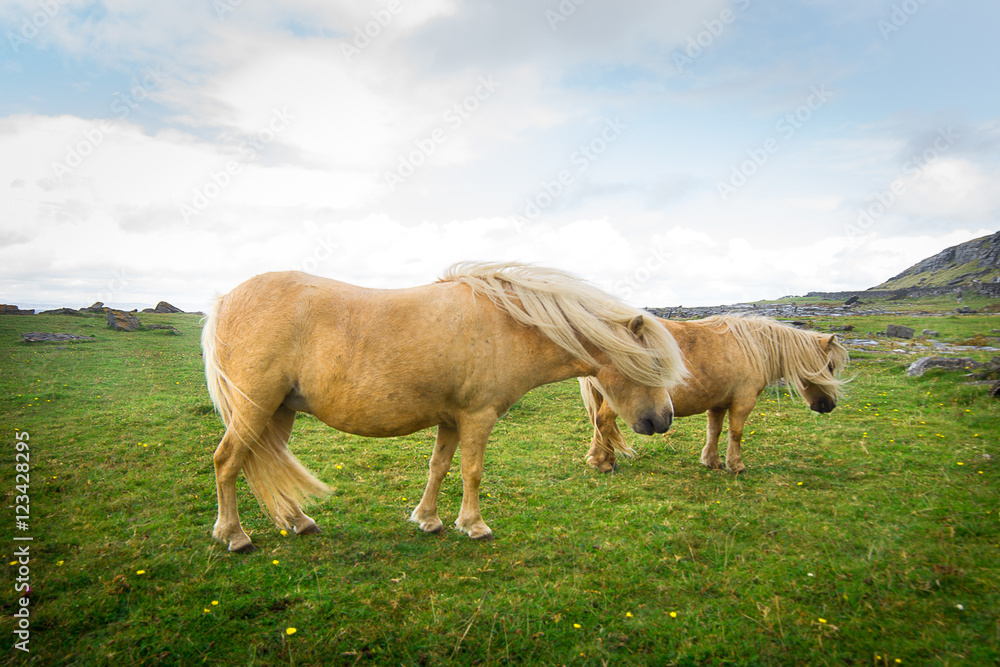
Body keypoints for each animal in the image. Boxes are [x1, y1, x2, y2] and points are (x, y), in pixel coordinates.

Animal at [202, 262, 687, 552]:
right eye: (653, 364)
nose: (664, 419)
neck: (509, 324)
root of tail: (225, 299)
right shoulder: (478, 417)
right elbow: (472, 471)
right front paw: (474, 524)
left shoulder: (452, 420)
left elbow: (439, 467)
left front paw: (429, 520)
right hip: (256, 407)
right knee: (226, 461)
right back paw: (234, 536)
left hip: (278, 411)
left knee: (258, 462)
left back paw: (299, 521)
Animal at [579, 314, 848, 474]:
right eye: (830, 366)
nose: (829, 405)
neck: (753, 348)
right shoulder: (743, 402)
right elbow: (736, 433)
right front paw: (736, 465)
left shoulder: (718, 403)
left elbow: (715, 430)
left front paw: (712, 461)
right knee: (603, 422)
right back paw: (603, 463)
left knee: (601, 425)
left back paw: (602, 459)